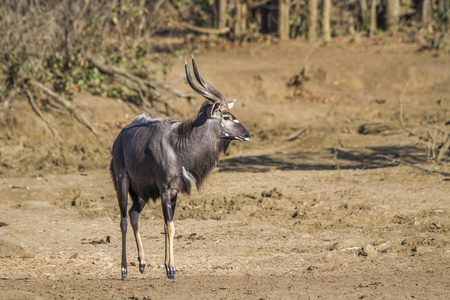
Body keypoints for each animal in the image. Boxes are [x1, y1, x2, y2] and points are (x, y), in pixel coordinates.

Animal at [109, 56, 250, 278]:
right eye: (226, 117)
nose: (247, 134)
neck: (178, 146)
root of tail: (119, 138)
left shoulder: (173, 192)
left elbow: (168, 225)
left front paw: (168, 267)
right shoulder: (166, 189)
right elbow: (170, 226)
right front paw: (172, 269)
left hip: (141, 194)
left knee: (133, 214)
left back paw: (142, 263)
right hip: (122, 182)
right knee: (123, 219)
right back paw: (124, 270)